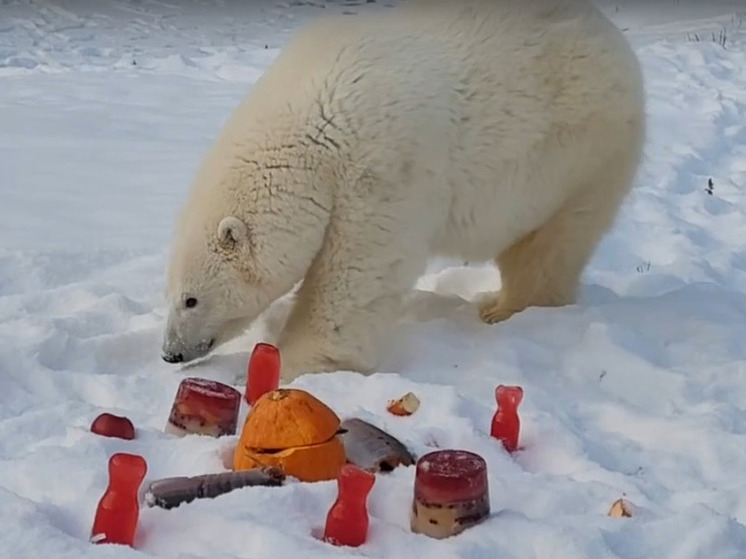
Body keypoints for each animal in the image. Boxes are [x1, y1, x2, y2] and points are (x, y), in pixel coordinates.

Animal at [160, 0, 644, 380]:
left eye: (191, 299)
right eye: (172, 294)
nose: (170, 353)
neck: (314, 125)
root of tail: (612, 36)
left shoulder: (379, 172)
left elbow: (356, 274)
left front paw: (299, 361)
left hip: (581, 151)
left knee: (551, 242)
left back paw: (504, 307)